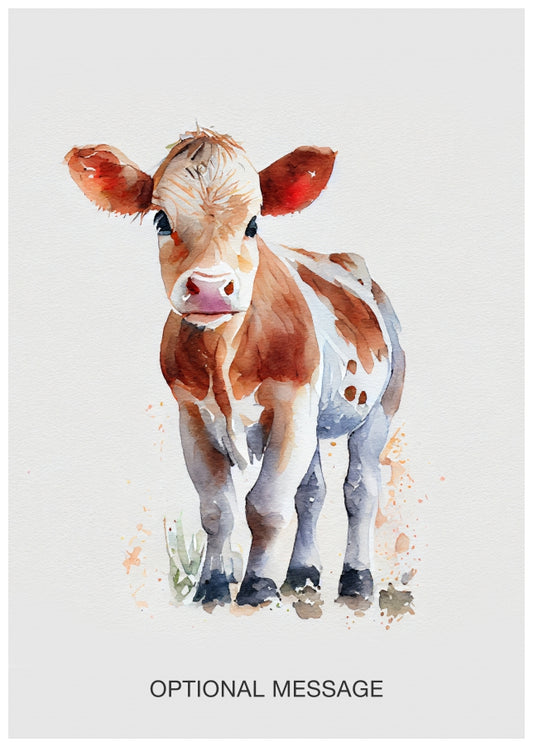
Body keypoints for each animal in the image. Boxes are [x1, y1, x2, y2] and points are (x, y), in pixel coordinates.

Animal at [65, 128, 405, 609]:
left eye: (253, 224)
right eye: (161, 220)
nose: (210, 288)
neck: (225, 352)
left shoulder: (292, 407)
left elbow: (266, 505)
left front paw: (257, 587)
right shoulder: (192, 417)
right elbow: (217, 508)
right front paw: (213, 585)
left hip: (381, 406)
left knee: (360, 489)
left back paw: (356, 578)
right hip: (316, 419)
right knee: (312, 492)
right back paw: (302, 574)